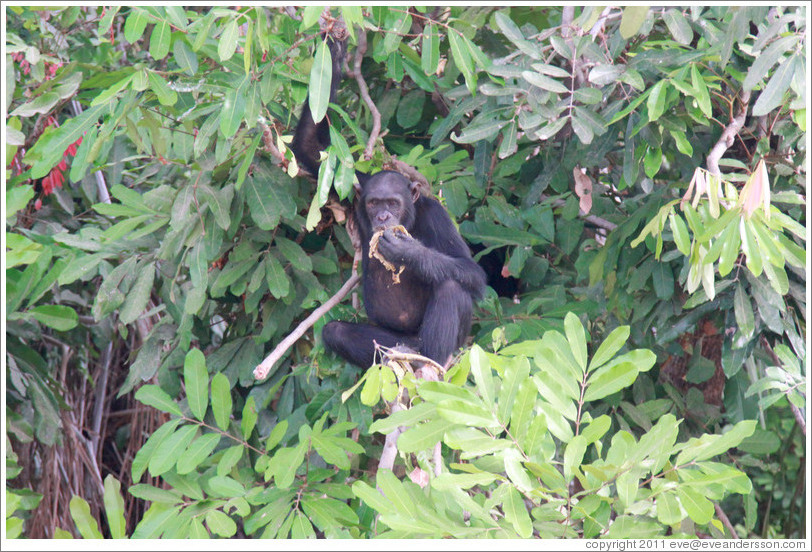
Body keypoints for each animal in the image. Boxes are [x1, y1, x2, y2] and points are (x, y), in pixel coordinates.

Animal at [290, 31, 486, 366]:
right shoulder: (350, 186)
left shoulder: (435, 214)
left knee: (452, 287)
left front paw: (408, 252)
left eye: (393, 203)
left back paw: (431, 362)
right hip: (392, 339)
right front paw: (336, 46)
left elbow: (470, 270)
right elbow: (309, 147)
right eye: (374, 204)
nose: (383, 217)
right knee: (337, 332)